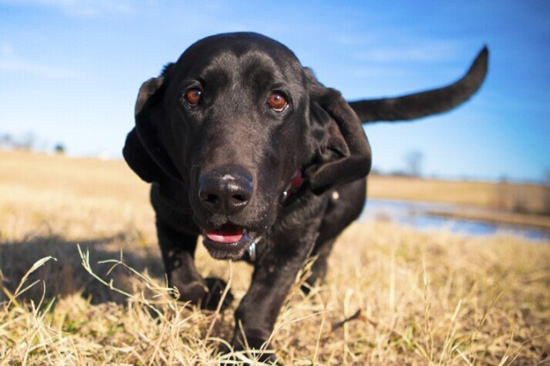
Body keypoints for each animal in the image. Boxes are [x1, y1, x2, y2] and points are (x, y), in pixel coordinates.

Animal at [123, 32, 490, 360]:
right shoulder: (169, 215)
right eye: (193, 95)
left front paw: (251, 346)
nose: (224, 192)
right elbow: (182, 278)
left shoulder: (294, 244)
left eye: (277, 99)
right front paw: (212, 293)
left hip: (326, 237)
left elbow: (261, 301)